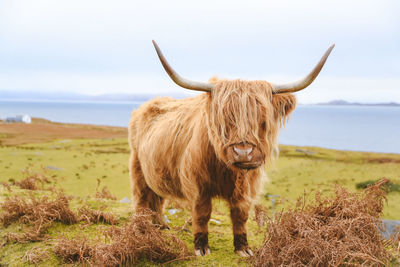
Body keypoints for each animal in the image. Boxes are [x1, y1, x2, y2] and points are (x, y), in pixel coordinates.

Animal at [129, 41, 334, 258]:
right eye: (224, 118)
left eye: (262, 118)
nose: (243, 153)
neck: (227, 170)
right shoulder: (197, 184)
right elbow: (202, 213)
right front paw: (201, 247)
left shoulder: (248, 187)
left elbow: (240, 214)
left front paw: (243, 248)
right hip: (137, 168)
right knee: (142, 199)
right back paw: (143, 229)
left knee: (157, 198)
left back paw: (160, 225)